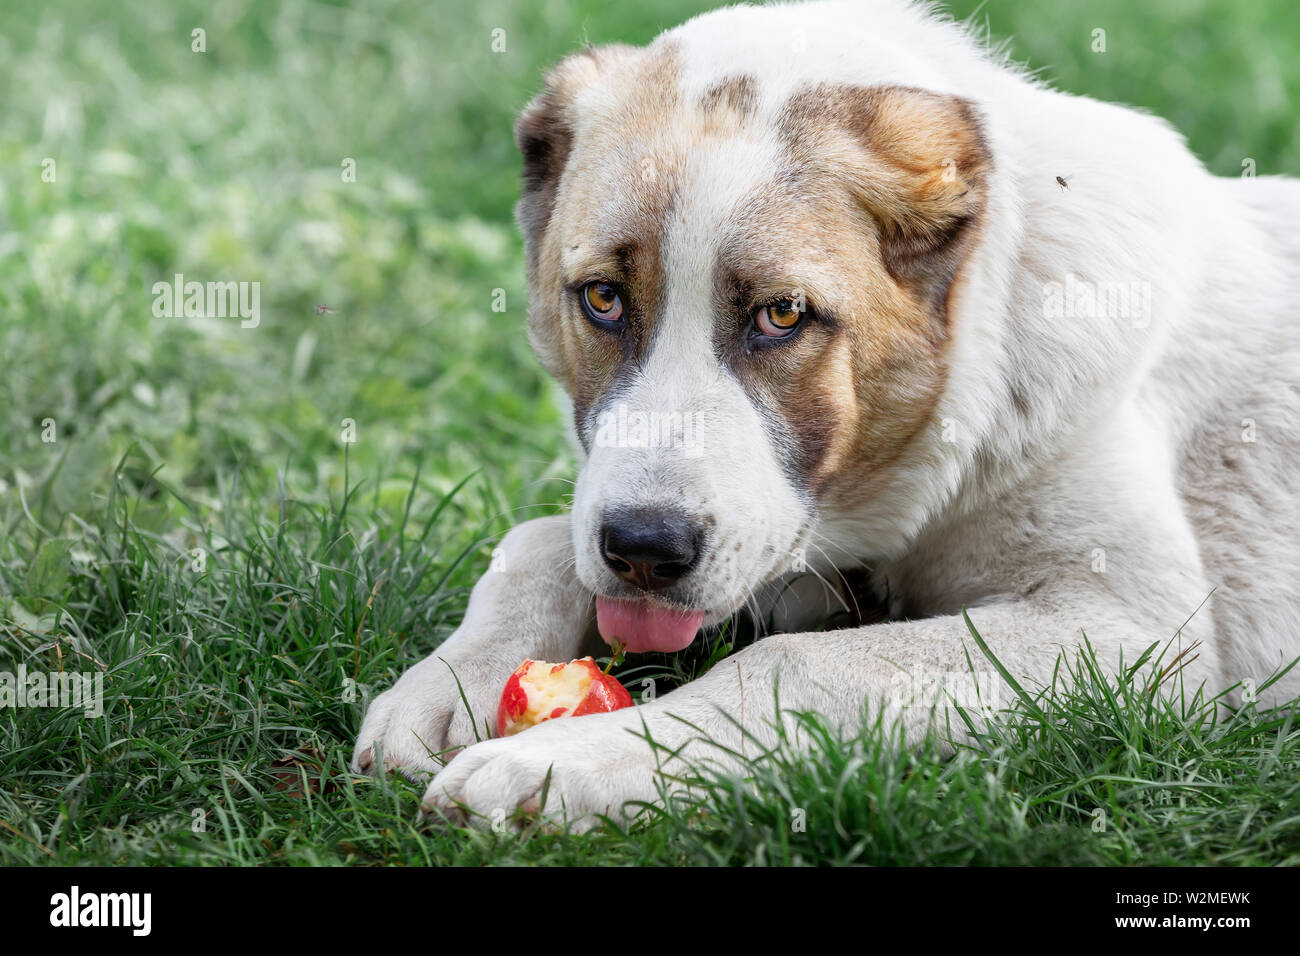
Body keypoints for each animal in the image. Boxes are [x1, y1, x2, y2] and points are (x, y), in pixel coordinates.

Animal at [351, 0, 1294, 832]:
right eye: (604, 299)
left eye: (781, 316)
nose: (645, 551)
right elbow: (542, 538)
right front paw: (453, 678)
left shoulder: (1129, 634)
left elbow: (795, 661)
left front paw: (563, 763)